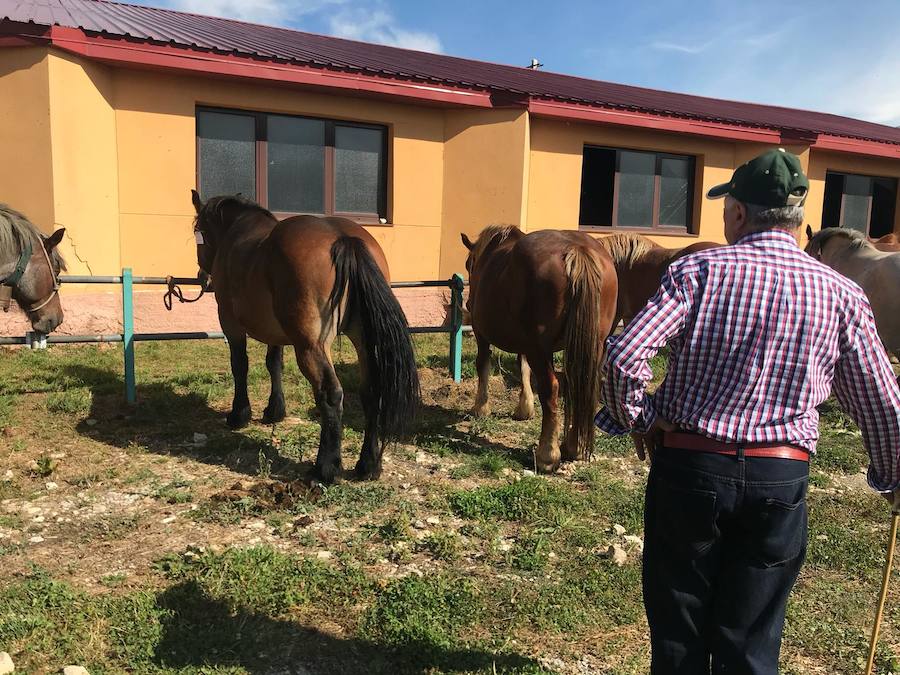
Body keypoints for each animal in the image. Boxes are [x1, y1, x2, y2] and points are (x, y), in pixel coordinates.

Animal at [191, 191, 422, 486]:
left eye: (198, 231)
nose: (202, 277)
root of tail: (343, 239)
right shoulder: (275, 332)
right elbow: (274, 364)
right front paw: (274, 411)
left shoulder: (230, 322)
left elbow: (240, 365)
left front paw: (239, 414)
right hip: (363, 340)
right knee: (371, 392)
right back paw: (368, 465)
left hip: (312, 346)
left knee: (330, 394)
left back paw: (325, 467)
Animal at [460, 224, 616, 472]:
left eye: (469, 264)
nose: (467, 302)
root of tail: (577, 251)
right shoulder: (530, 344)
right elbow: (522, 367)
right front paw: (525, 407)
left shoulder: (482, 333)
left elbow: (483, 364)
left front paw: (480, 407)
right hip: (593, 346)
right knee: (580, 385)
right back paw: (573, 447)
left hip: (539, 349)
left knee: (551, 389)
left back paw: (547, 454)